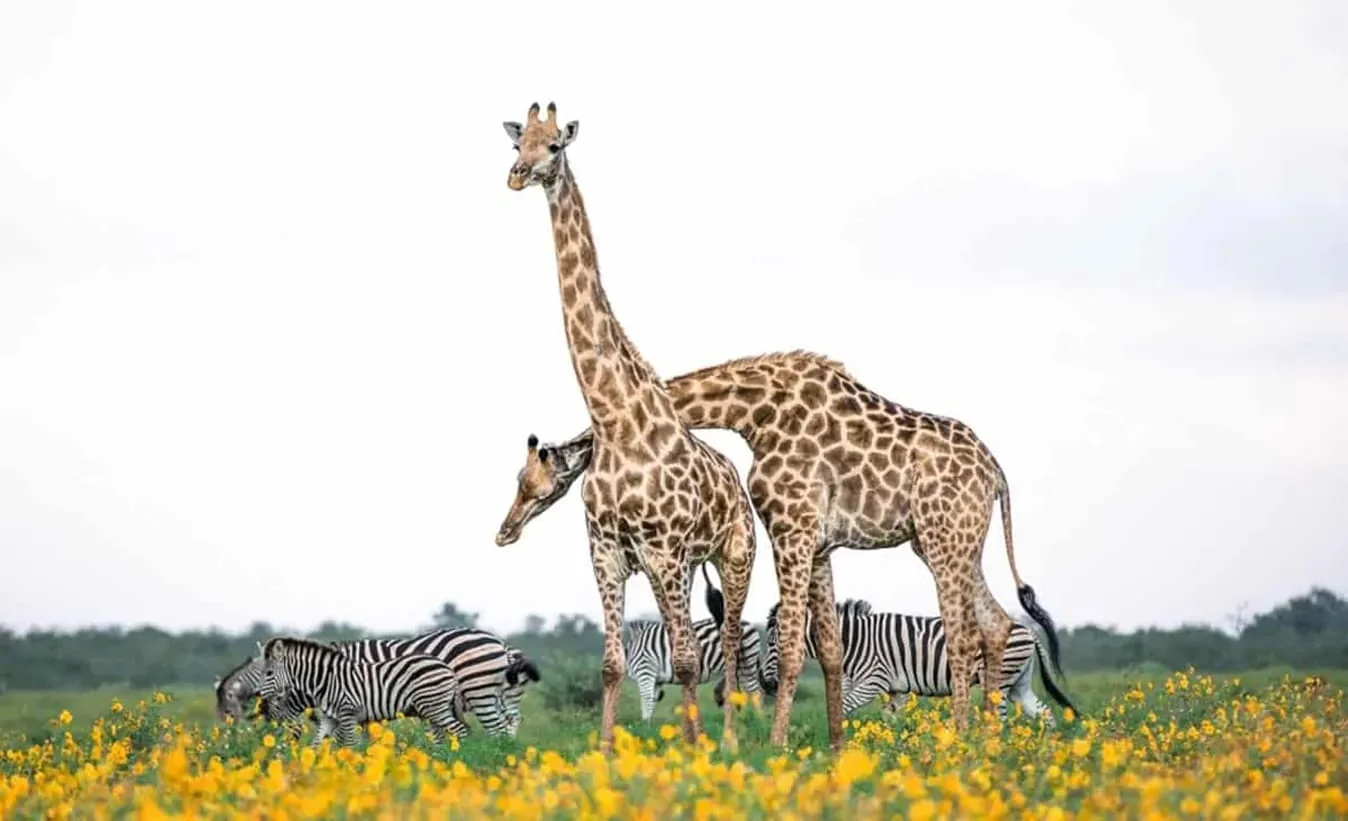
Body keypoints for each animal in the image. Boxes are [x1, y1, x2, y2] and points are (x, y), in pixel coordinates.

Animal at [256, 636, 471, 747]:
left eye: (268, 673)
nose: (274, 743)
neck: (325, 682)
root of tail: (447, 667)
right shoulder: (329, 719)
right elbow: (317, 744)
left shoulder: (348, 714)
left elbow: (349, 744)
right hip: (431, 711)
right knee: (442, 737)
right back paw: (440, 759)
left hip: (434, 707)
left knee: (461, 730)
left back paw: (458, 758)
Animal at [758, 599, 1077, 725]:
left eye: (773, 642)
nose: (764, 682)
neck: (852, 642)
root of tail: (1027, 630)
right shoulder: (895, 688)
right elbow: (888, 718)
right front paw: (887, 747)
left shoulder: (873, 681)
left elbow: (844, 707)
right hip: (1018, 683)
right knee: (1045, 713)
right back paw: (1046, 752)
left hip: (998, 679)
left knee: (999, 718)